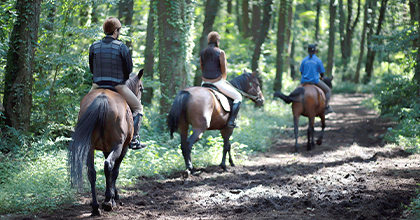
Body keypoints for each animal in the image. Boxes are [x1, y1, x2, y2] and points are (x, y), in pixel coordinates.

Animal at [69, 70, 144, 215]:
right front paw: (113, 197)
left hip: (90, 147)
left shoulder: (106, 148)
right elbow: (115, 171)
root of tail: (102, 99)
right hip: (118, 146)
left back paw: (95, 207)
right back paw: (108, 201)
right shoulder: (122, 148)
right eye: (141, 88)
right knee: (109, 165)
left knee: (92, 172)